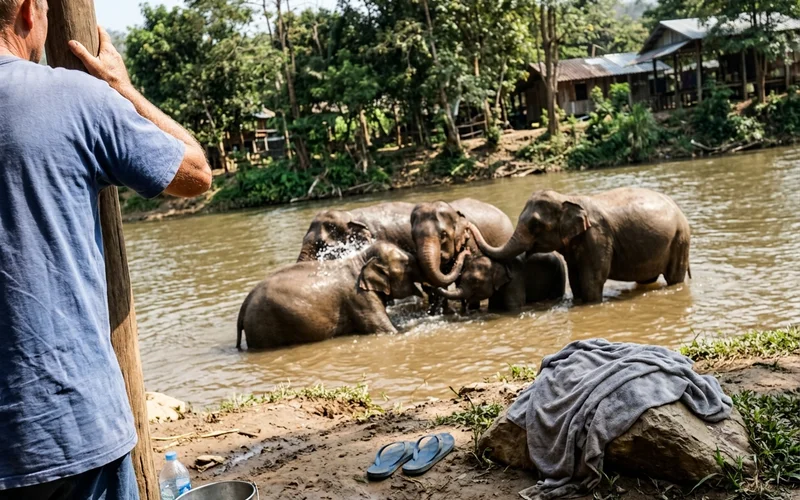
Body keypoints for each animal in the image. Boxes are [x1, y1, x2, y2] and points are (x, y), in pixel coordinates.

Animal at [238, 241, 428, 349]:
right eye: (408, 264)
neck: (361, 258)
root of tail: (244, 305)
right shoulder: (359, 297)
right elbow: (385, 330)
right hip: (263, 327)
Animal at [435, 253, 565, 312]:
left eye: (475, 281)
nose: (438, 288)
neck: (495, 262)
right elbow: (494, 306)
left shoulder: (515, 280)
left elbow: (514, 305)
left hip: (559, 275)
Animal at [469, 188, 691, 303]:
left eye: (535, 225)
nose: (469, 225)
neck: (568, 198)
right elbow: (576, 278)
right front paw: (578, 301)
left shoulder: (598, 237)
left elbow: (592, 279)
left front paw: (591, 303)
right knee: (647, 278)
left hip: (680, 240)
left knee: (674, 278)